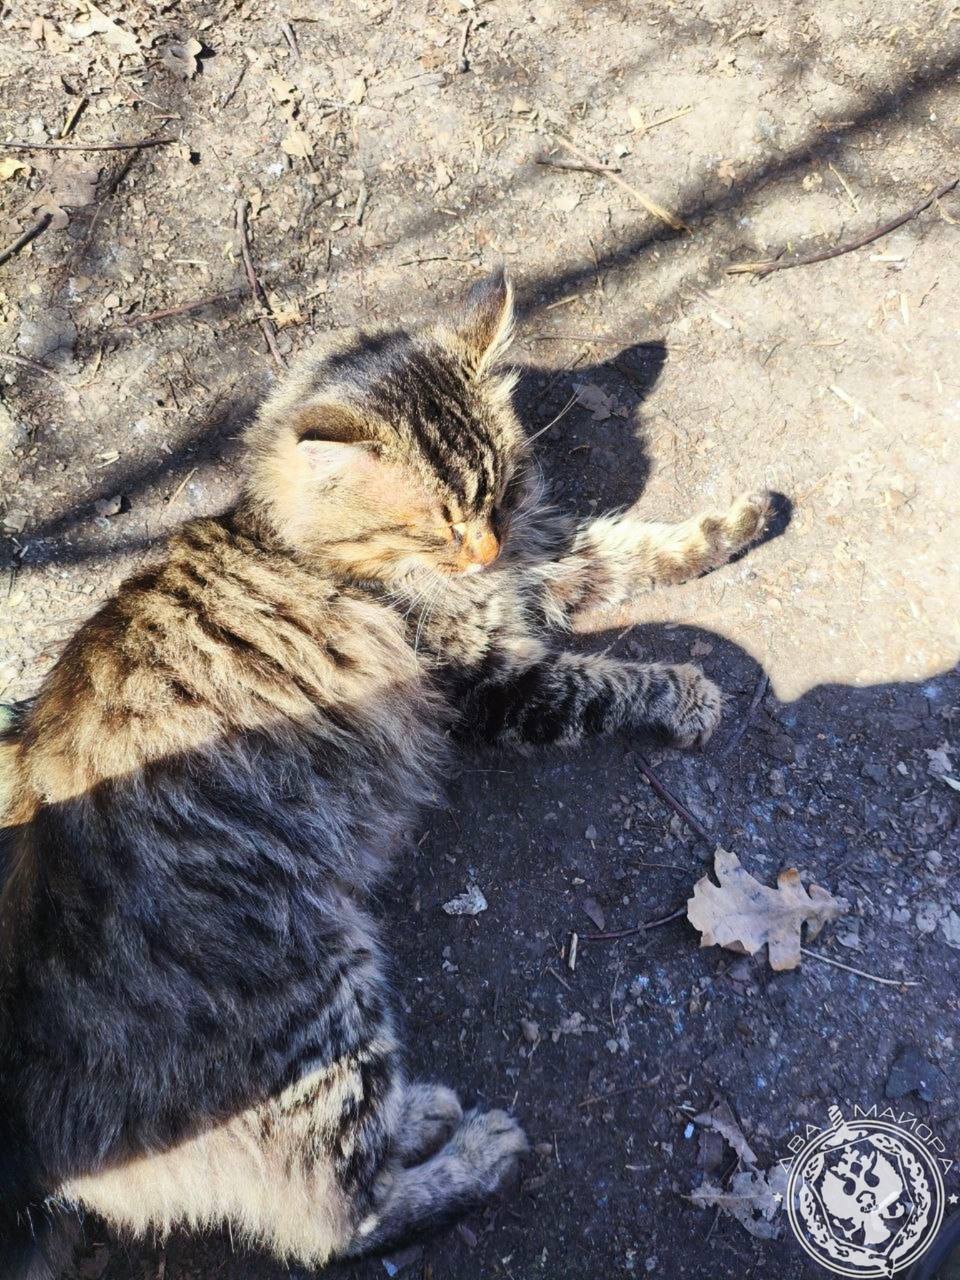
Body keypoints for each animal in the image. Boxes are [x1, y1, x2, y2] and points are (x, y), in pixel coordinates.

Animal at [0, 271, 772, 1275]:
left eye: (497, 488)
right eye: (437, 521)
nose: (485, 547)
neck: (301, 544)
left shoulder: (537, 571)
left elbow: (636, 546)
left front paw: (744, 521)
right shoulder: (493, 685)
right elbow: (607, 677)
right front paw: (689, 692)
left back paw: (430, 1110)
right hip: (326, 1003)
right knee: (340, 1220)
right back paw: (479, 1150)